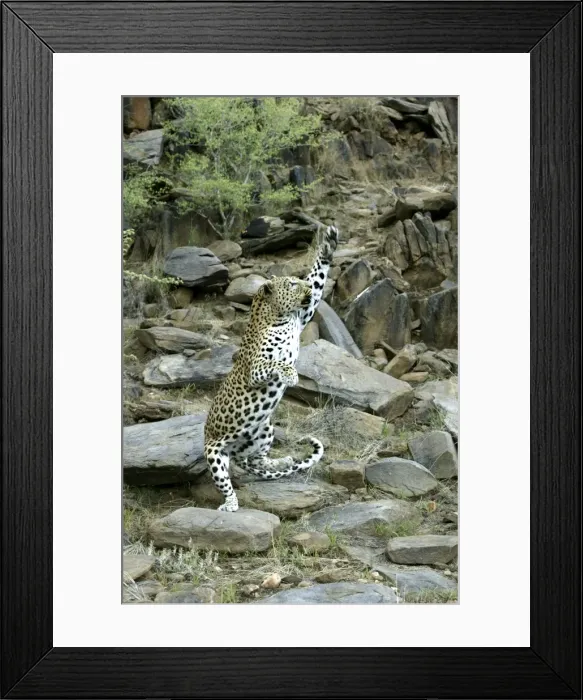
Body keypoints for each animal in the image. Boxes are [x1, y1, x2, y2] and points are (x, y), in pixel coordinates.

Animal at [204, 225, 340, 511]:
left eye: (299, 281)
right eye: (292, 284)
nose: (303, 286)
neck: (281, 317)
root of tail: (234, 452)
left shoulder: (305, 313)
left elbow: (318, 278)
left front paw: (328, 245)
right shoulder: (255, 370)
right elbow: (275, 362)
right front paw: (290, 375)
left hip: (265, 429)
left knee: (256, 460)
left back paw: (282, 460)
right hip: (215, 453)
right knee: (226, 481)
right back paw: (230, 504)